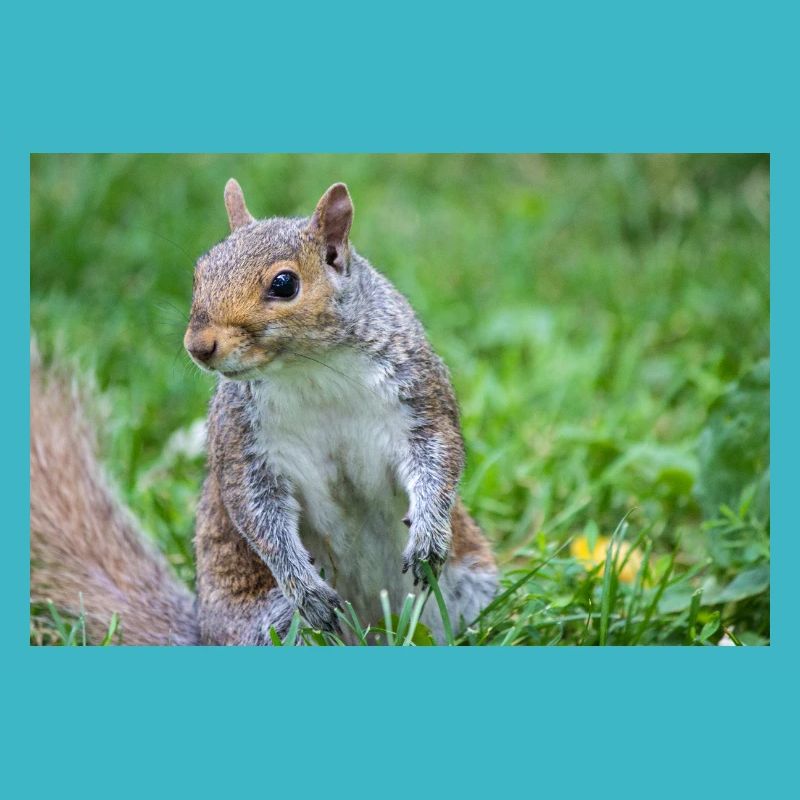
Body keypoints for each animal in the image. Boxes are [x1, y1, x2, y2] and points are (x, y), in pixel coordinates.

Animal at [30, 181, 497, 645]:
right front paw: (306, 589)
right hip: (272, 623)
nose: (198, 346)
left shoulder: (419, 395)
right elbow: (258, 514)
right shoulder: (243, 443)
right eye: (200, 273)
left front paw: (428, 538)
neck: (311, 369)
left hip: (470, 581)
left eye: (285, 284)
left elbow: (438, 457)